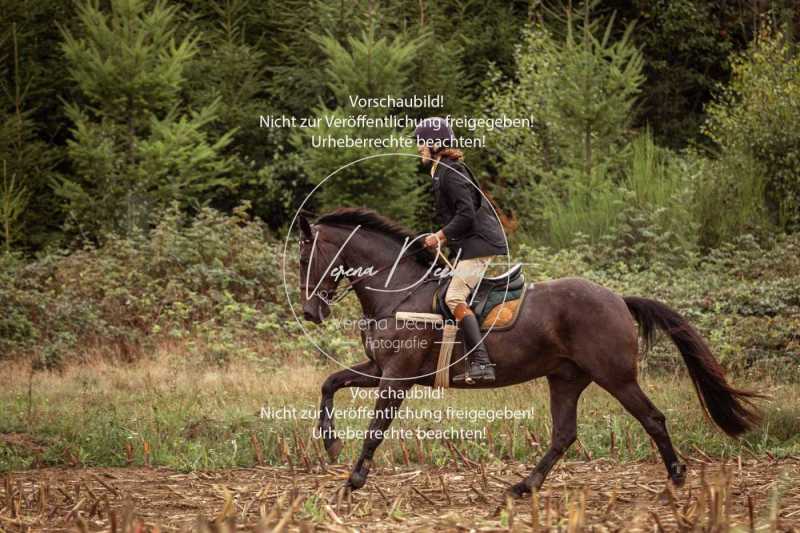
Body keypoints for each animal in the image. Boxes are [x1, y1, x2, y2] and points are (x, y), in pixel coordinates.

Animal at [296, 207, 764, 494]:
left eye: (304, 258)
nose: (309, 312)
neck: (399, 291)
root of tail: (617, 298)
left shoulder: (397, 377)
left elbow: (376, 428)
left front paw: (354, 479)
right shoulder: (381, 368)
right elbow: (330, 382)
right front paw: (331, 444)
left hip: (616, 376)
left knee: (652, 418)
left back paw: (677, 476)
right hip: (566, 377)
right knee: (564, 433)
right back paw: (524, 486)